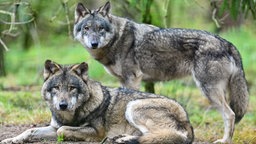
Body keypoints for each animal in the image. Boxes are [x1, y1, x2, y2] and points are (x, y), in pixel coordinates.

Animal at [0, 59, 194, 143]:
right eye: (57, 88)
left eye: (72, 88)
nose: (62, 105)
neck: (72, 116)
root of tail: (188, 122)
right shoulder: (53, 127)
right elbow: (30, 131)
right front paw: (11, 140)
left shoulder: (96, 132)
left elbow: (63, 131)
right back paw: (122, 138)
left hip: (133, 106)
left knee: (162, 136)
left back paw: (125, 139)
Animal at [73, 1, 249, 143]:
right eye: (86, 28)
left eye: (100, 29)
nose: (94, 43)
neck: (117, 38)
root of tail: (227, 43)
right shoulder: (123, 81)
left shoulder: (132, 79)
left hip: (208, 91)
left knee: (230, 114)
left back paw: (225, 141)